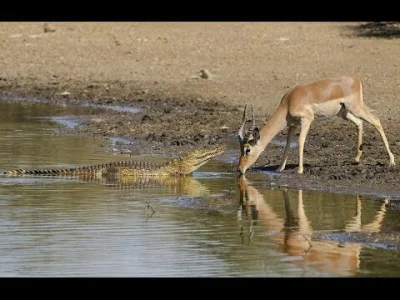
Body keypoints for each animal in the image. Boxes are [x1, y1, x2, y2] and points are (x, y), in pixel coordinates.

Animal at [236, 74, 396, 173]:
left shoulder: (307, 119)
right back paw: (356, 159)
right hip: (344, 113)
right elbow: (287, 145)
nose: (239, 169)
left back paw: (391, 161)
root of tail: (355, 78)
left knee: (376, 121)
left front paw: (300, 170)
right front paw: (279, 168)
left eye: (247, 150)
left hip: (356, 108)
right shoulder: (292, 125)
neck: (289, 101)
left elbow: (300, 141)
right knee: (359, 123)